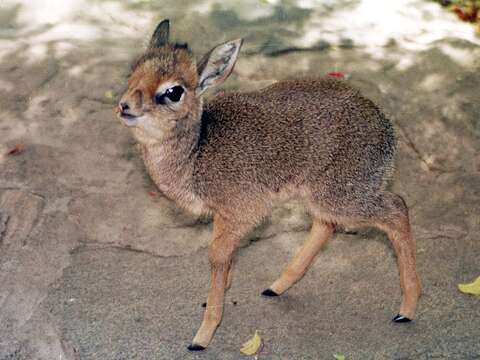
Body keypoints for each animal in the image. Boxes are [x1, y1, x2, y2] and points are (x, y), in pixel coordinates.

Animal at [117, 20, 420, 352]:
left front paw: (203, 335)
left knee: (396, 208)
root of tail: (386, 128)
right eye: (133, 72)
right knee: (326, 225)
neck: (197, 151)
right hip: (323, 195)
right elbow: (227, 259)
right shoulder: (226, 217)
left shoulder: (240, 213)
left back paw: (406, 309)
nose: (124, 105)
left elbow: (217, 256)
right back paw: (276, 287)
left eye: (173, 91)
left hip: (345, 194)